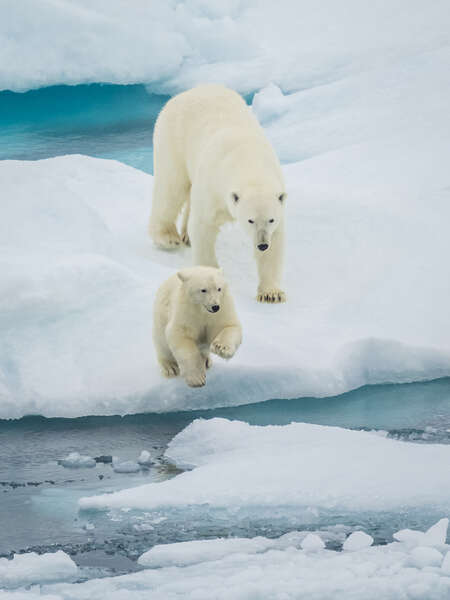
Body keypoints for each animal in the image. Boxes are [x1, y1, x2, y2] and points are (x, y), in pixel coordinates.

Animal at [149, 83, 286, 304]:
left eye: (271, 220)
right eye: (250, 220)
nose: (263, 244)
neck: (248, 159)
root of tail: (188, 92)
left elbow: (277, 242)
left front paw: (271, 293)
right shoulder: (213, 184)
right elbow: (203, 226)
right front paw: (210, 277)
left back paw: (185, 235)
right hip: (172, 138)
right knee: (171, 187)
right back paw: (167, 236)